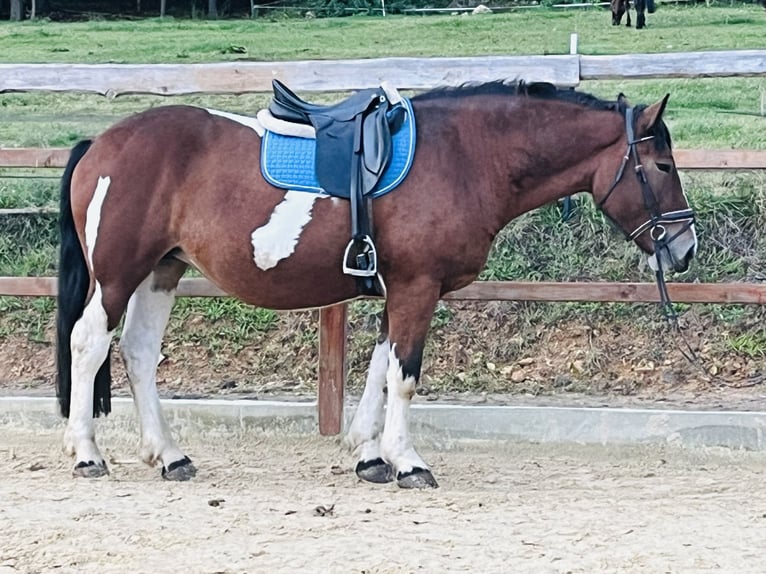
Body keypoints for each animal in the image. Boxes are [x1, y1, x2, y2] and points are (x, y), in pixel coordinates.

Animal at [57, 77, 700, 490]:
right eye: (662, 166)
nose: (685, 247)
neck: (463, 156)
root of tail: (102, 144)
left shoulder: (399, 289)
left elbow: (380, 365)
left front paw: (368, 456)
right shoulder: (418, 286)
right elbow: (405, 375)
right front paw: (407, 461)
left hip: (162, 270)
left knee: (139, 352)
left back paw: (169, 456)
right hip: (118, 275)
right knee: (89, 343)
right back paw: (86, 454)